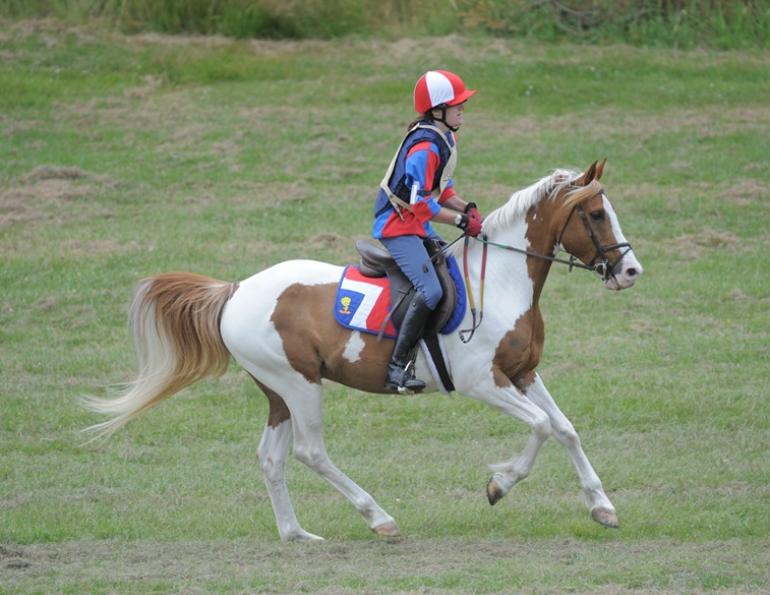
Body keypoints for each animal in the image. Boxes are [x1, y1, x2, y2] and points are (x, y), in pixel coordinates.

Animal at [83, 159, 643, 541]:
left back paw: (296, 534)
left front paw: (601, 506)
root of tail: (237, 290)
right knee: (310, 453)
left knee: (271, 458)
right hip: (300, 385)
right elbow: (542, 426)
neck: (501, 281)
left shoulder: (523, 374)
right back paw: (379, 518)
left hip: (279, 393)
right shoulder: (484, 383)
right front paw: (499, 484)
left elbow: (565, 429)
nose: (631, 270)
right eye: (597, 214)